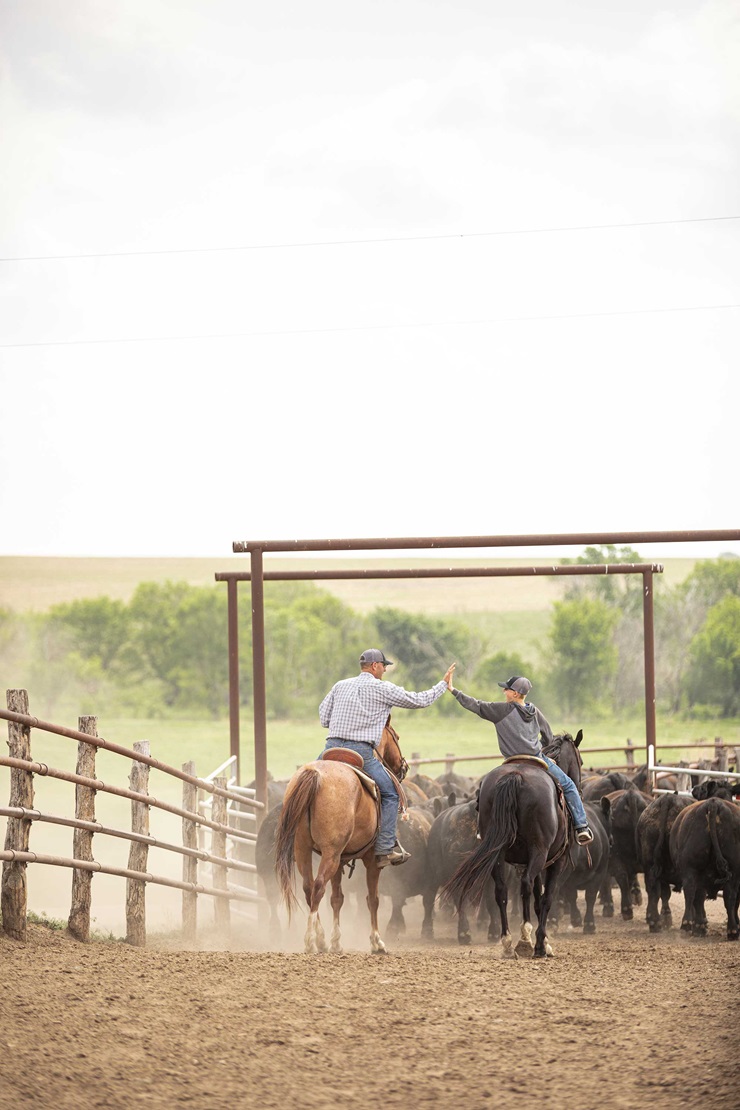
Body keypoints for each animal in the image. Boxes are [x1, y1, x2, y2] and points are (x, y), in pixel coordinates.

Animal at [275, 719, 408, 954]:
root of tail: (315, 775)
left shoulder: (341, 858)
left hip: (305, 850)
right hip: (330, 853)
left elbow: (337, 898)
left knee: (309, 887)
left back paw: (320, 938)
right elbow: (372, 899)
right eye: (397, 737)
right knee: (318, 886)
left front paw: (336, 942)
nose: (403, 767)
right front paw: (377, 942)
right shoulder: (372, 859)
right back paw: (311, 941)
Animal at [443, 732, 581, 959]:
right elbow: (546, 898)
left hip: (498, 855)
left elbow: (537, 900)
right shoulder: (555, 861)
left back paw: (508, 943)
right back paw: (524, 941)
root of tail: (515, 776)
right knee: (525, 886)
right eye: (580, 760)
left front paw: (543, 942)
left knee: (501, 892)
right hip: (539, 851)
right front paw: (542, 945)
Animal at [670, 794, 740, 941]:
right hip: (732, 872)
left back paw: (688, 925)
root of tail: (713, 803)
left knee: (692, 893)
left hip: (692, 870)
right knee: (729, 898)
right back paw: (732, 930)